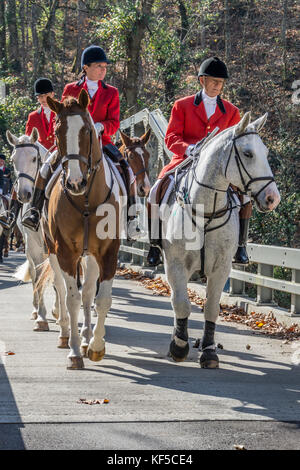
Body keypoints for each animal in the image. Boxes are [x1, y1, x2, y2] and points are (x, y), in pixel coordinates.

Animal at [6, 126, 59, 328]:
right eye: (13, 160)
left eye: (34, 158)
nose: (24, 194)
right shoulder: (34, 246)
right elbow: (38, 276)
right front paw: (42, 316)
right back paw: (36, 309)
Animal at [41, 90, 122, 370]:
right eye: (57, 132)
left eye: (87, 130)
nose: (75, 183)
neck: (86, 199)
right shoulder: (65, 253)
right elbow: (71, 298)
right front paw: (75, 352)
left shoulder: (108, 252)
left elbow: (101, 299)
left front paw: (95, 346)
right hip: (53, 251)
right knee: (63, 288)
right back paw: (67, 334)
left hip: (90, 256)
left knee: (87, 292)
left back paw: (87, 338)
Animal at [159, 112, 282, 370]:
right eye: (248, 153)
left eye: (266, 152)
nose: (273, 198)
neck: (206, 210)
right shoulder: (175, 264)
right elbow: (181, 303)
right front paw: (179, 346)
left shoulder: (221, 267)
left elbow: (211, 308)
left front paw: (208, 350)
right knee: (177, 300)